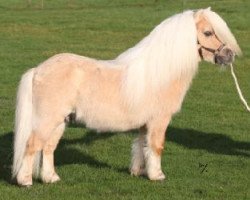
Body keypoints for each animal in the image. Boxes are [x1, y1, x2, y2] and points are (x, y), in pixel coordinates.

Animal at [11, 7, 240, 186]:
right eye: (208, 32)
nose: (229, 55)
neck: (159, 72)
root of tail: (38, 70)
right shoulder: (159, 120)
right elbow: (156, 146)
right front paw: (157, 175)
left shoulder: (145, 124)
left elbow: (141, 145)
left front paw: (138, 172)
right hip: (47, 121)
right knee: (32, 146)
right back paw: (25, 181)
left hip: (59, 122)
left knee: (48, 148)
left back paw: (51, 178)